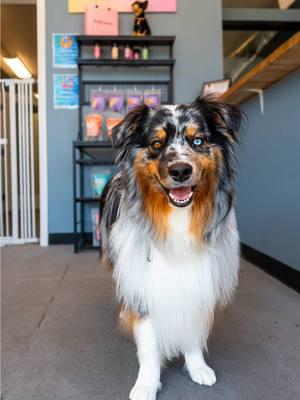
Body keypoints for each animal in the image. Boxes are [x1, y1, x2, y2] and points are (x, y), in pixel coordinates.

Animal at [101, 95, 244, 398]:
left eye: (198, 141)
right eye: (156, 144)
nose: (180, 170)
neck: (177, 219)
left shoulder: (200, 280)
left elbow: (193, 331)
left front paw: (197, 367)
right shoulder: (144, 283)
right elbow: (149, 345)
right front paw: (146, 384)